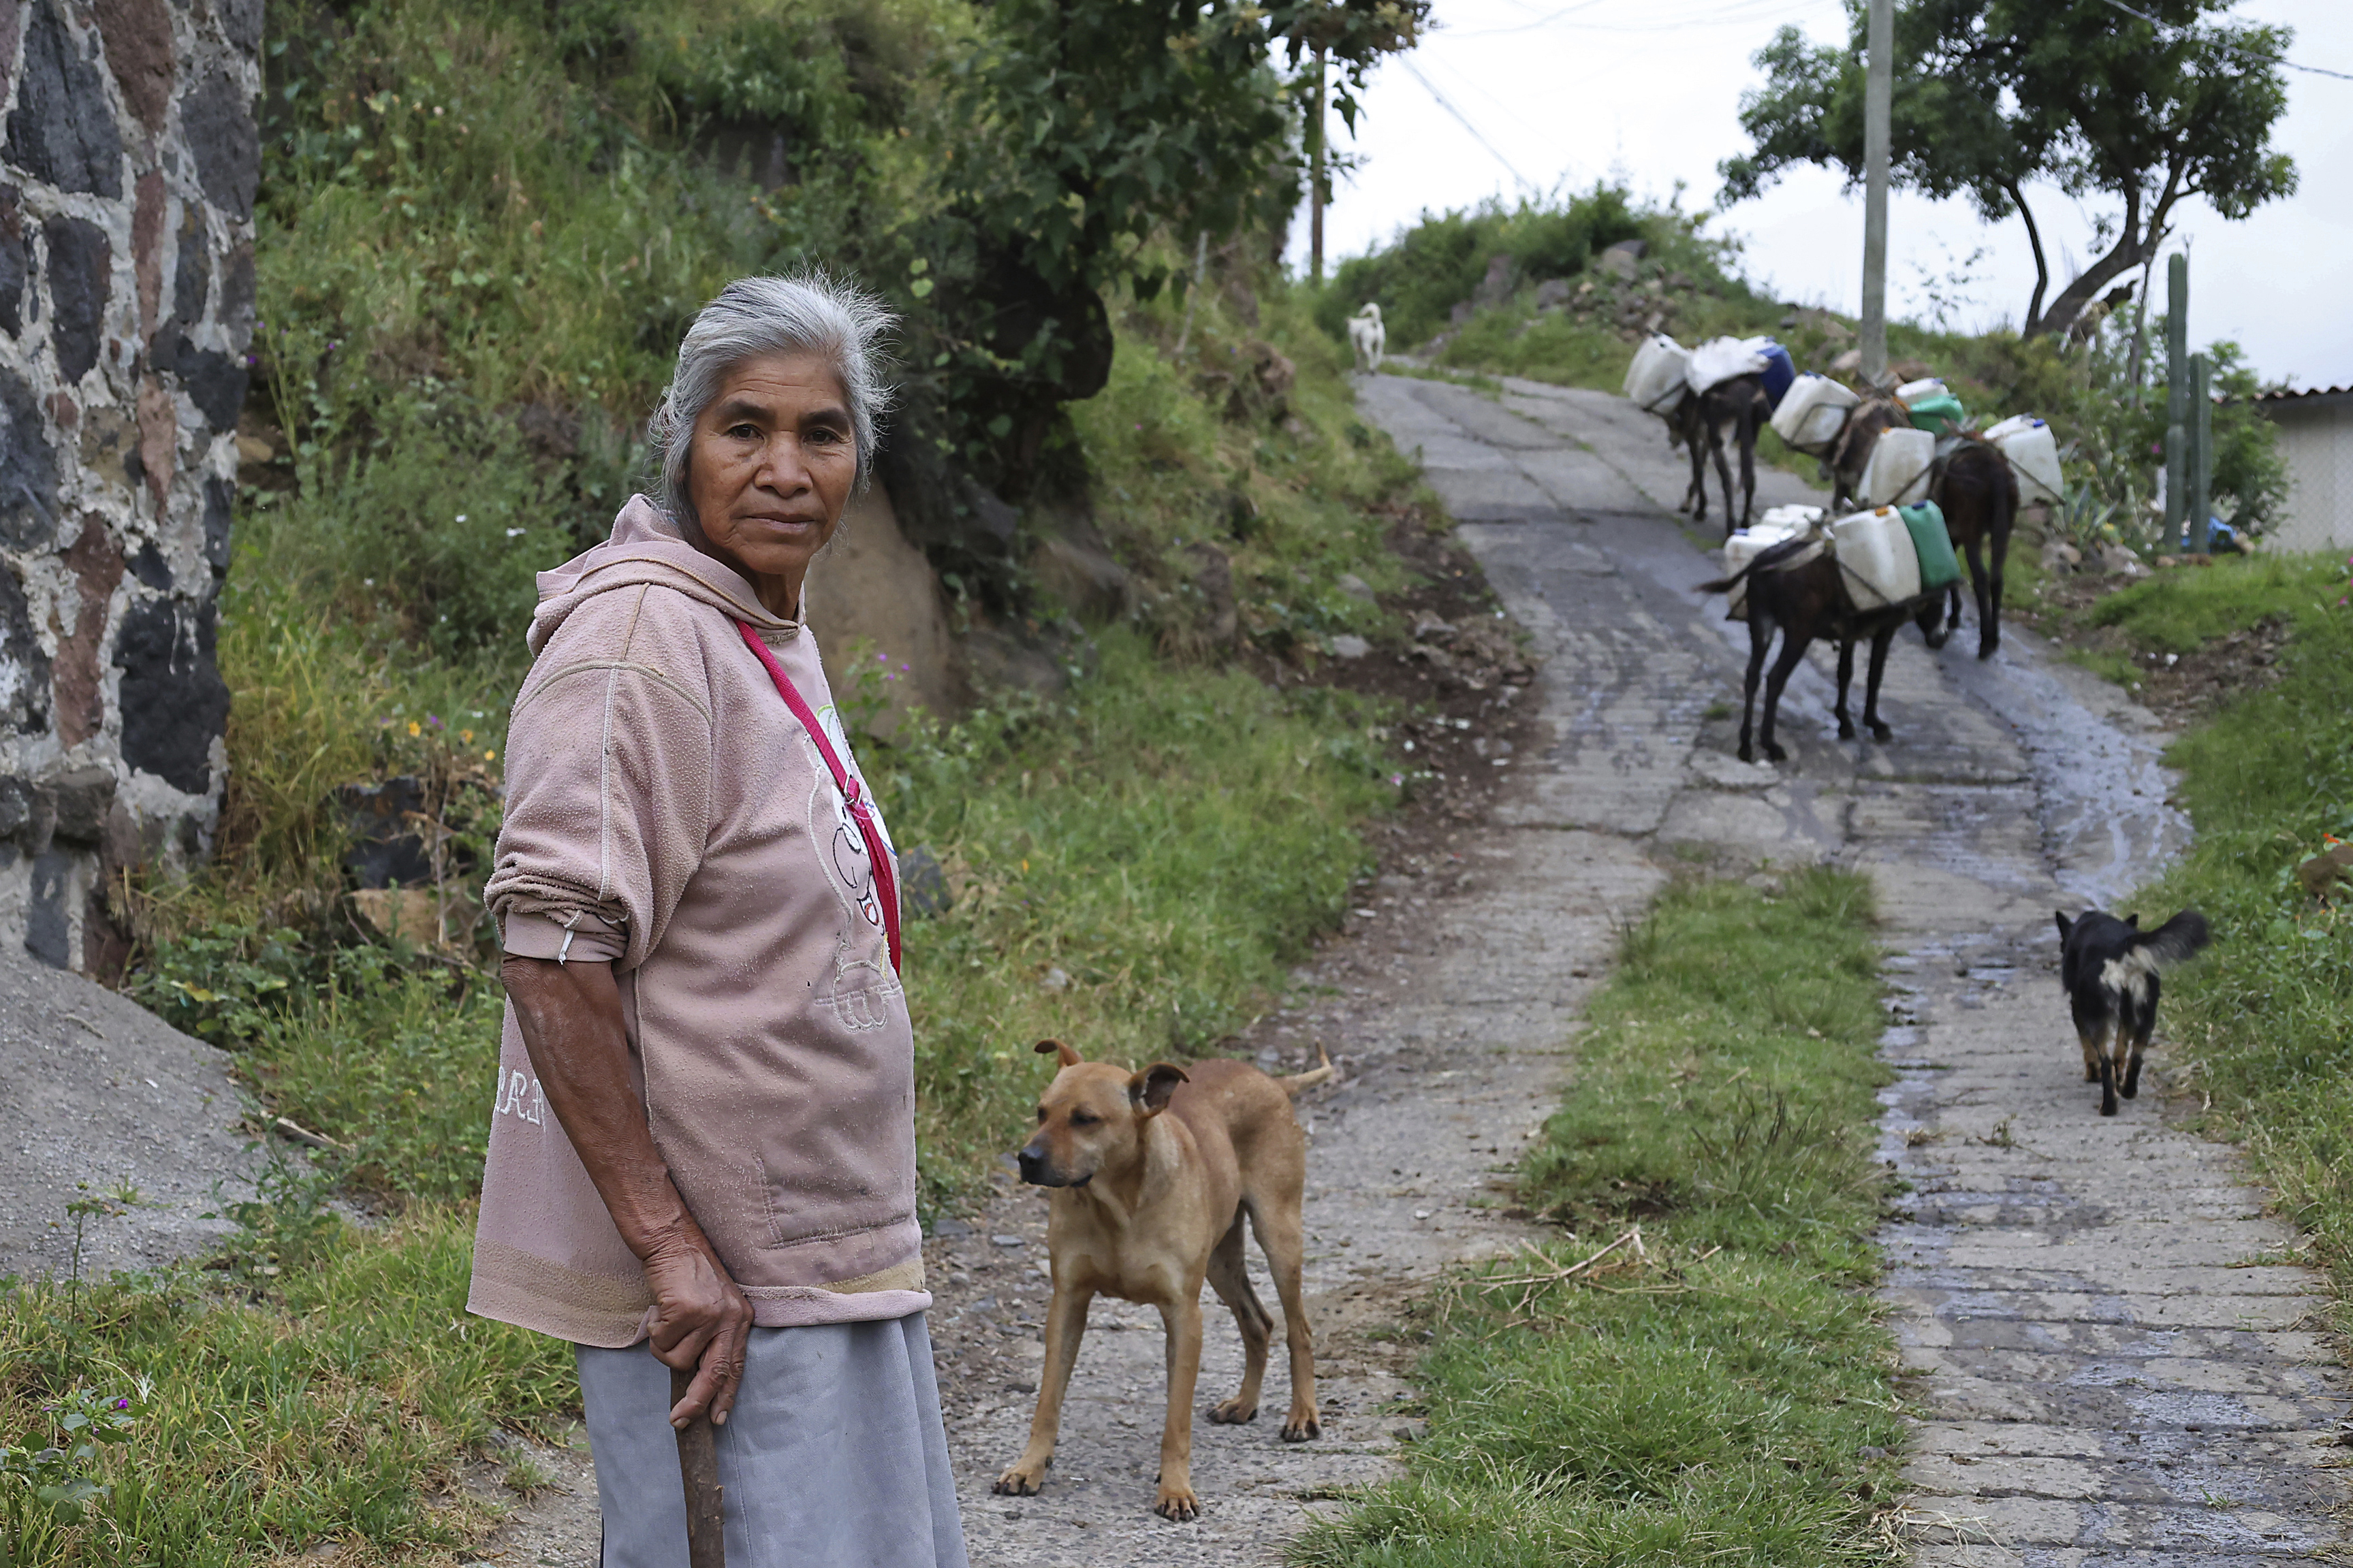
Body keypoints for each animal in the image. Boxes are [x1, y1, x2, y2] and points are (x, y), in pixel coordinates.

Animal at [988, 1044, 1336, 1523]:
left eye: (1085, 1119)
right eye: (1041, 1112)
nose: (1027, 1158)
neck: (1118, 1204)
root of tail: (1268, 1080)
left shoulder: (1184, 1317)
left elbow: (1176, 1422)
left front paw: (1174, 1488)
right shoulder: (1068, 1305)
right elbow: (1046, 1404)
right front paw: (1029, 1467)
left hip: (1279, 1236)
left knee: (1297, 1329)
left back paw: (1302, 1414)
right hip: (1221, 1263)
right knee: (1258, 1323)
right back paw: (1245, 1403)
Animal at [2051, 907, 2211, 1114]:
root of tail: (2122, 947)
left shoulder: (2078, 1008)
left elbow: (2088, 1049)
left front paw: (2092, 1074)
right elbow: (2120, 1054)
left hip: (2097, 1015)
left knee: (2106, 1063)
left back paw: (2109, 1107)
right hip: (2145, 1015)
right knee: (2134, 1057)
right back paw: (2128, 1091)